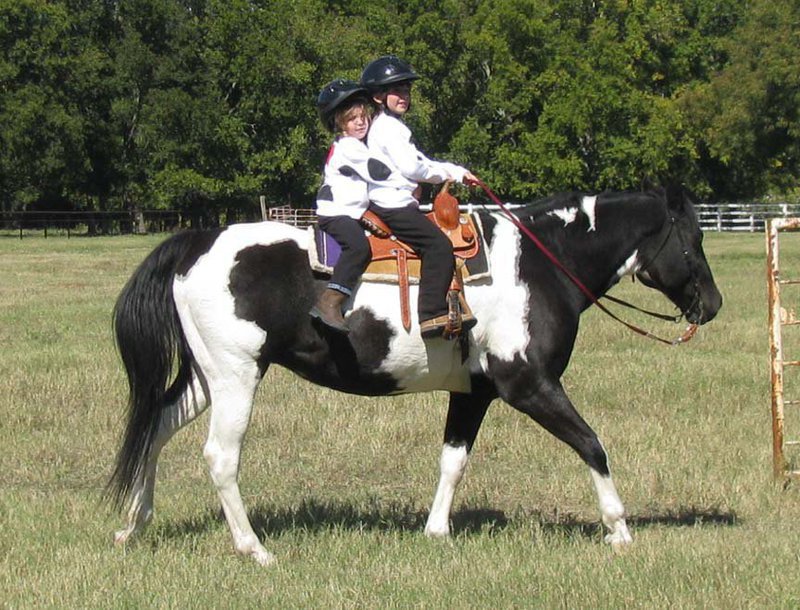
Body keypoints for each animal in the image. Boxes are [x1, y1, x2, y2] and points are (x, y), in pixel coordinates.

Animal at [107, 184, 722, 566]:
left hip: (206, 377)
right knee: (220, 457)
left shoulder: (475, 394)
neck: (539, 265)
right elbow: (593, 445)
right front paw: (619, 529)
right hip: (236, 376)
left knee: (155, 428)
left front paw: (436, 531)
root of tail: (198, 242)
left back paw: (134, 523)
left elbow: (453, 461)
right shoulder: (529, 385)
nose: (712, 305)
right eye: (693, 241)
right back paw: (253, 548)